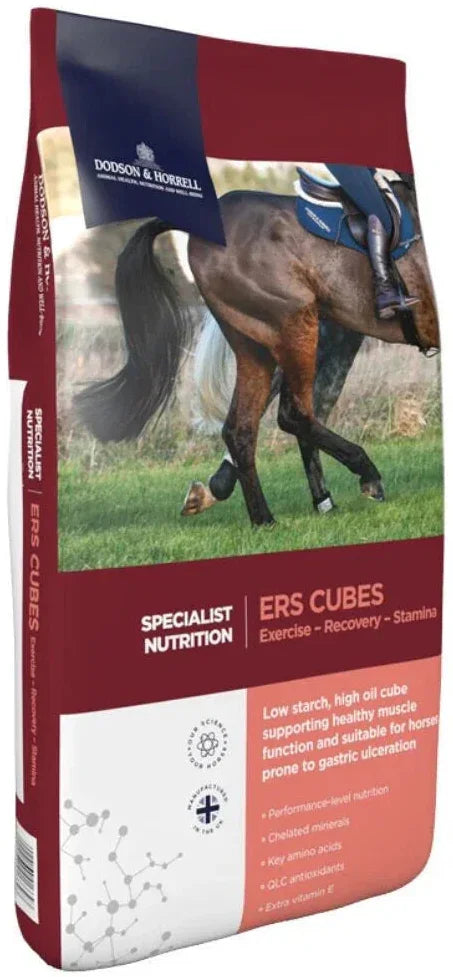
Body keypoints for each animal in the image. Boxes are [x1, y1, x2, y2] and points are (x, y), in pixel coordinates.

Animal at [75, 177, 439, 527]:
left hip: (261, 347)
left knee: (244, 426)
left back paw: (263, 516)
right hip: (296, 326)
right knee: (293, 413)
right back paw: (362, 475)